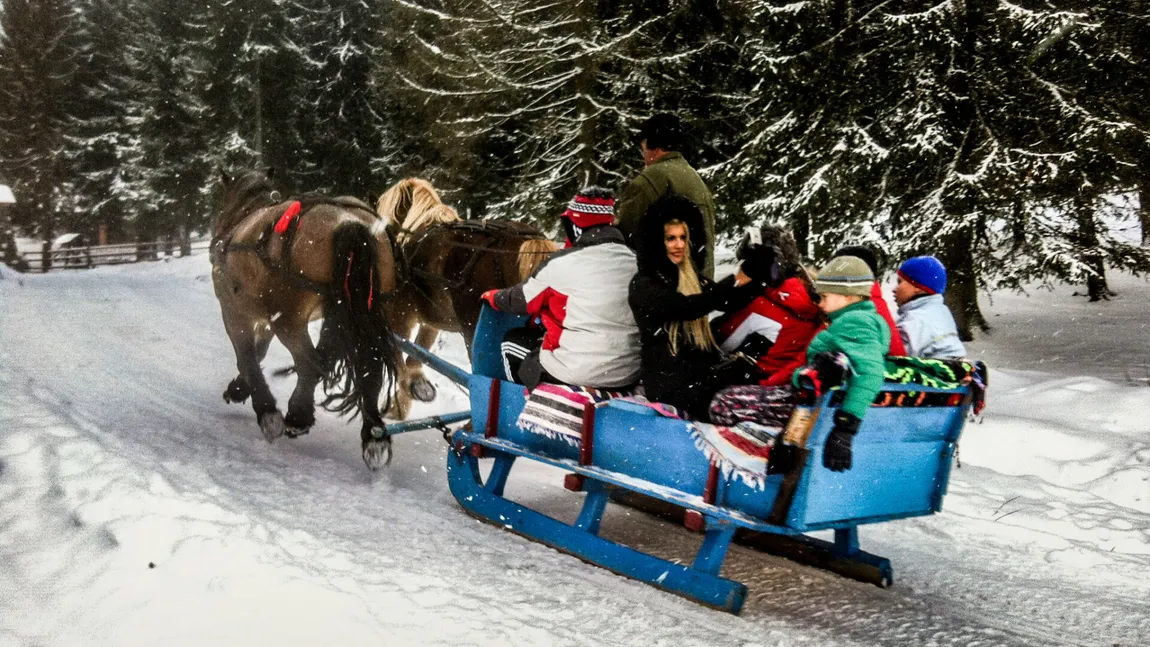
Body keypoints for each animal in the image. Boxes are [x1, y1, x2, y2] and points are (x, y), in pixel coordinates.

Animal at [211, 170, 404, 468]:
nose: (217, 231)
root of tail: (347, 222)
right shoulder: (269, 318)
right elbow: (260, 351)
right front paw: (240, 388)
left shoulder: (235, 312)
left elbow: (248, 357)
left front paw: (264, 409)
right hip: (355, 308)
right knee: (366, 365)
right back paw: (374, 437)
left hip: (291, 319)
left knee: (310, 363)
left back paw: (297, 416)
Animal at [377, 176, 556, 420]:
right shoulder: (431, 324)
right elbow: (414, 360)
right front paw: (407, 400)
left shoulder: (401, 317)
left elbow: (400, 358)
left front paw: (400, 402)